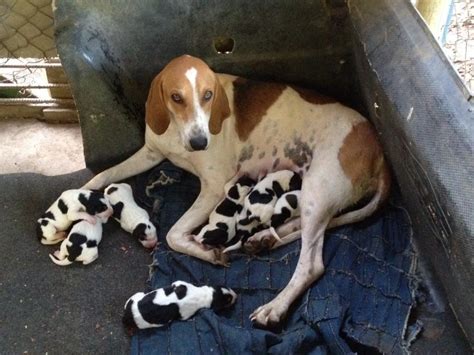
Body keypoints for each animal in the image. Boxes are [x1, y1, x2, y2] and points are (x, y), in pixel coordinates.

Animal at [83, 54, 390, 330]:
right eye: (176, 97)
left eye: (208, 95)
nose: (200, 142)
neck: (178, 135)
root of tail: (379, 151)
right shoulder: (150, 154)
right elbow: (102, 175)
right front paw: (81, 197)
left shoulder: (213, 186)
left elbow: (173, 235)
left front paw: (206, 252)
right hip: (313, 196)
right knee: (299, 229)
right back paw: (263, 239)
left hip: (318, 190)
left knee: (311, 265)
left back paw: (274, 307)